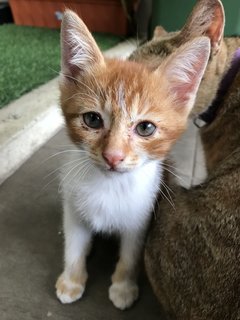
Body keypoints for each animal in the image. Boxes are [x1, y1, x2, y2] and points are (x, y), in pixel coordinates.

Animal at [55, 10, 211, 310]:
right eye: (92, 119)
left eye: (146, 128)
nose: (113, 156)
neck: (107, 185)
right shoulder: (72, 209)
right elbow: (74, 246)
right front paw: (71, 280)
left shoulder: (140, 217)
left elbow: (130, 254)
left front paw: (123, 287)